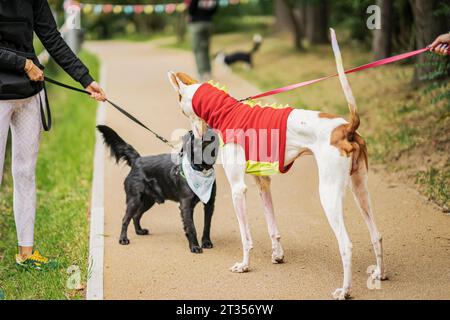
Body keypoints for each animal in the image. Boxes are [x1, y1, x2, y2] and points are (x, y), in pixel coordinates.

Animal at [167, 28, 384, 298]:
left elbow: (245, 236)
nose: (194, 134)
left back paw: (344, 290)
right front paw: (277, 255)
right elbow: (272, 225)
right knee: (377, 235)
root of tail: (347, 128)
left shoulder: (238, 189)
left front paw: (245, 265)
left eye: (180, 105)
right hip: (360, 189)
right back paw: (379, 273)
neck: (227, 111)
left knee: (347, 245)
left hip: (329, 194)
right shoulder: (263, 181)